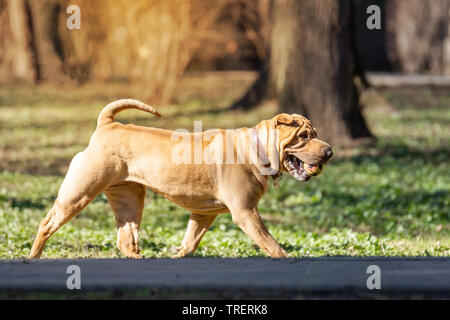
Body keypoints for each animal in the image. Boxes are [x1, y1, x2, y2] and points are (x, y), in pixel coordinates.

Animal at [27, 99, 330, 258]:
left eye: (315, 133)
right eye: (304, 136)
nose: (330, 151)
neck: (256, 149)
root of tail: (107, 125)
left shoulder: (203, 214)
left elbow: (189, 242)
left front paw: (177, 256)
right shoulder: (246, 213)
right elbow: (272, 244)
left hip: (129, 199)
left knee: (125, 240)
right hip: (78, 194)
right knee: (46, 224)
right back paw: (33, 257)